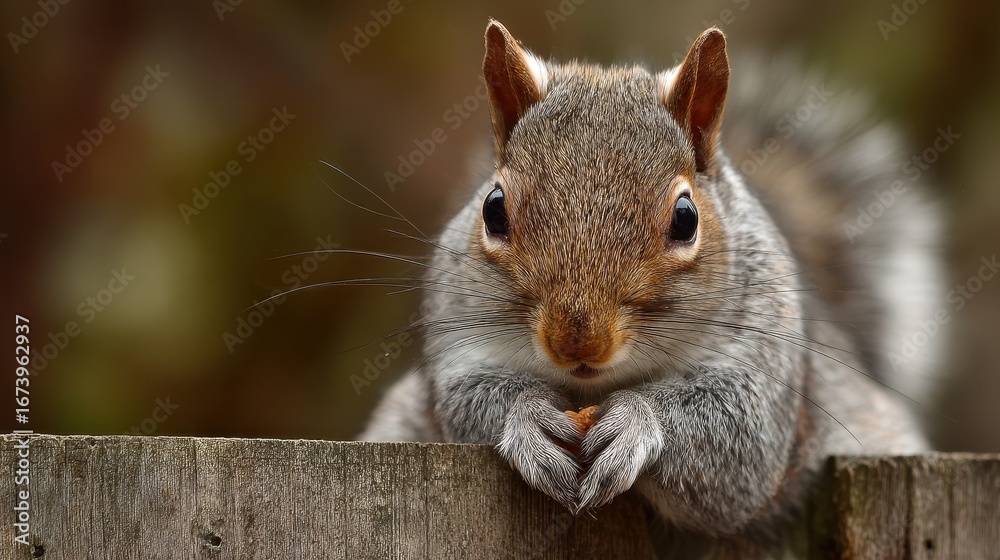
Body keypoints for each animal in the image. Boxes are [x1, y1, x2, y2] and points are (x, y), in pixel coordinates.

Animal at [358, 20, 943, 539]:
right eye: (493, 209)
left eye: (686, 219)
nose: (577, 343)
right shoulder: (457, 341)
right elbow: (463, 402)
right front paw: (529, 420)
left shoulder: (763, 368)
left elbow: (739, 449)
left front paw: (634, 423)